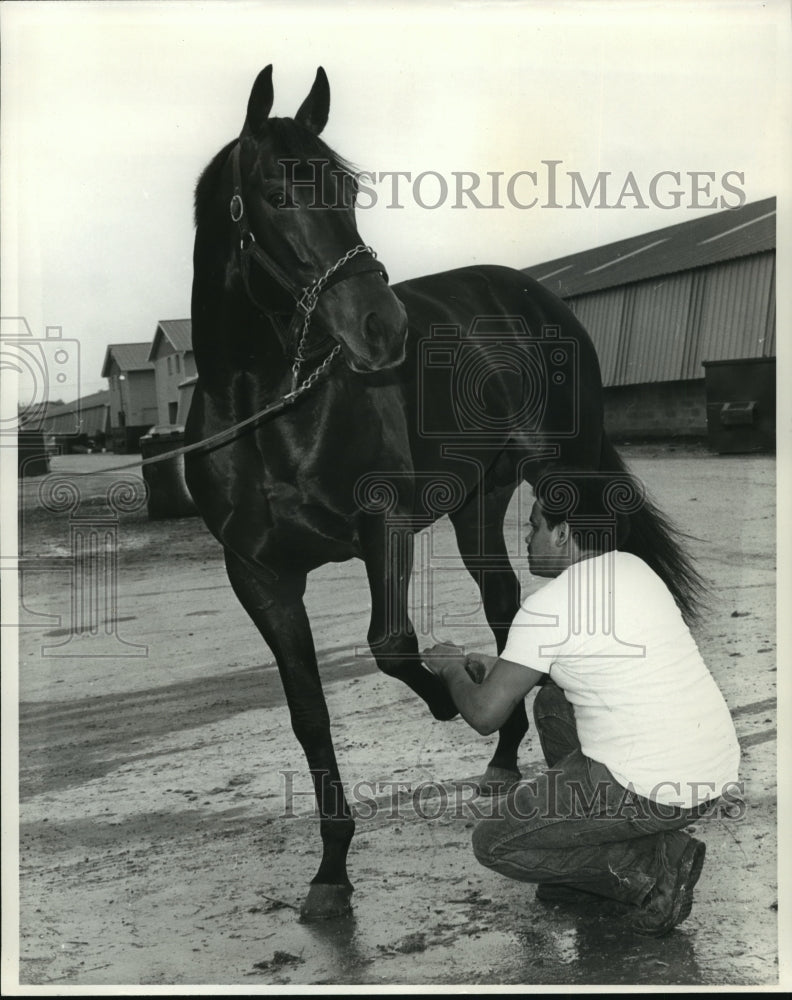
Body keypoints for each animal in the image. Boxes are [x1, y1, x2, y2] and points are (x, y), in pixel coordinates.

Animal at [184, 66, 700, 916]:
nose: (380, 326)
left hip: (566, 475)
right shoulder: (257, 574)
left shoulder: (382, 527)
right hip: (477, 508)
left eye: (348, 188)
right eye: (276, 190)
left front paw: (442, 699)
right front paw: (331, 871)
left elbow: (392, 643)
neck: (270, 413)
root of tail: (533, 297)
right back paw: (505, 756)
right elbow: (308, 714)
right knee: (505, 605)